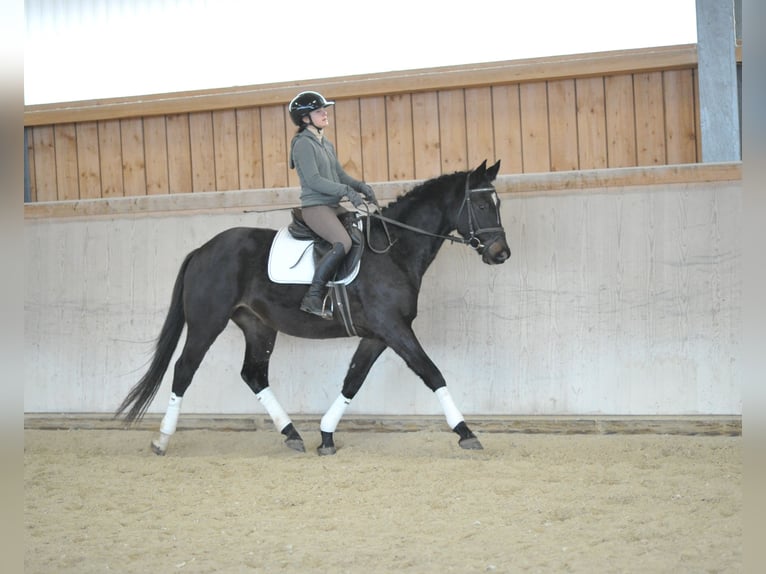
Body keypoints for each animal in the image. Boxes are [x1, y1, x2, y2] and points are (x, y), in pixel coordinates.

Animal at [115, 160, 510, 456]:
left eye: (498, 204)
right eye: (480, 205)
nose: (500, 254)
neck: (394, 249)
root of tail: (203, 249)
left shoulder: (378, 334)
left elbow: (353, 380)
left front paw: (326, 436)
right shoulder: (394, 328)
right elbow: (432, 373)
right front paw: (466, 432)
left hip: (258, 325)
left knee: (253, 375)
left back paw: (291, 434)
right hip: (206, 323)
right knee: (184, 370)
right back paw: (162, 439)